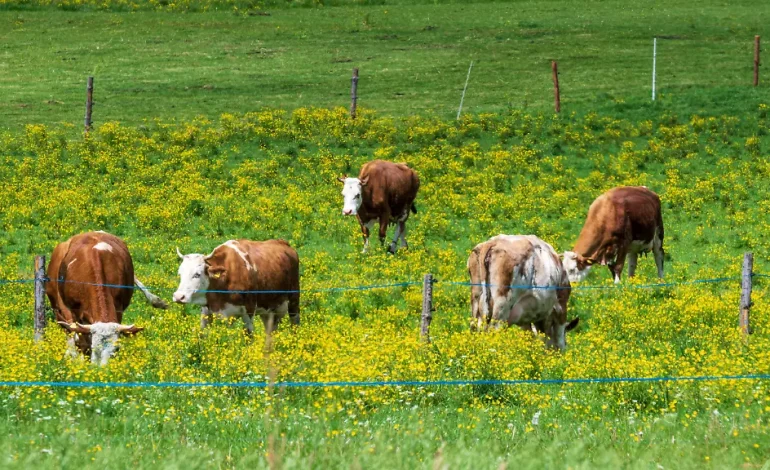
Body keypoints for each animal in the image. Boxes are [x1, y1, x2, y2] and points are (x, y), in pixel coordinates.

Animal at [46, 231, 168, 366]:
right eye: (94, 347)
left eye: (116, 349)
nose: (102, 369)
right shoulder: (76, 312)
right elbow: (81, 340)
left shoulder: (119, 307)